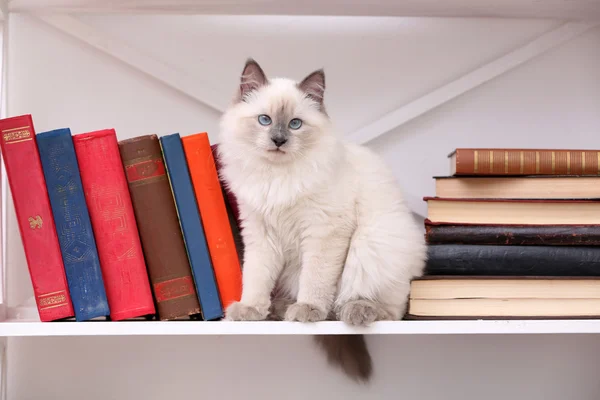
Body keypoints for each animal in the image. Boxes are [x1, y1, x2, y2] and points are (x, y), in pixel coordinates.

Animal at [216, 58, 426, 382]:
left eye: (295, 124)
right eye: (264, 120)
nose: (279, 140)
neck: (277, 177)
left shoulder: (324, 232)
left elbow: (315, 280)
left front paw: (308, 309)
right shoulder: (260, 234)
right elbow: (256, 277)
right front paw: (250, 310)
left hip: (371, 246)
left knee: (387, 309)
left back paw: (351, 311)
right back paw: (280, 309)